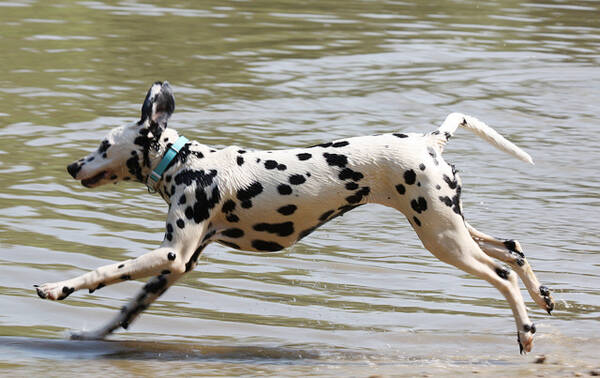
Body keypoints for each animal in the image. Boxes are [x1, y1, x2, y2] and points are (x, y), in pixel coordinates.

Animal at [36, 81, 552, 352]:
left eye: (103, 145)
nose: (72, 166)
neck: (187, 163)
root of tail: (429, 140)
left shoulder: (170, 255)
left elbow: (104, 270)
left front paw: (56, 288)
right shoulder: (179, 265)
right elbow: (125, 310)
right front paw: (88, 332)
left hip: (444, 241)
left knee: (502, 273)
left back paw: (526, 331)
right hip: (449, 227)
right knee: (513, 248)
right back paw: (542, 297)